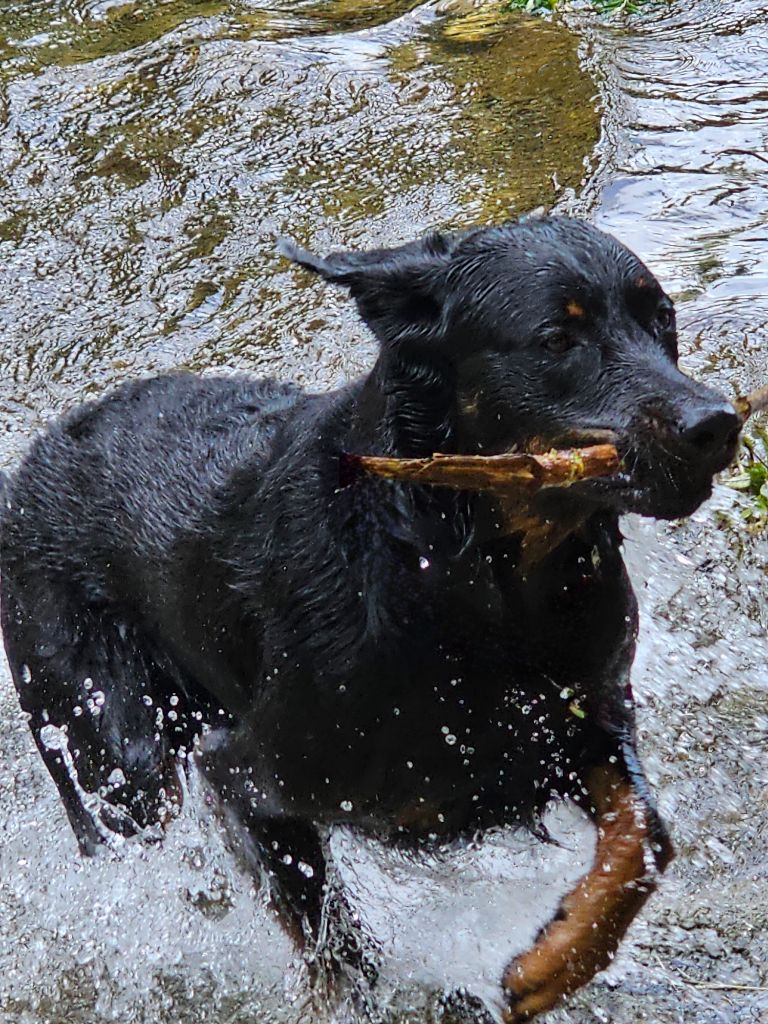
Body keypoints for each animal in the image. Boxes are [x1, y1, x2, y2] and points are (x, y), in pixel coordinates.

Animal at [1, 216, 745, 1015]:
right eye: (555, 339)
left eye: (661, 316)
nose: (716, 423)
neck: (470, 584)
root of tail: (31, 463)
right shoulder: (246, 778)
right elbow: (337, 950)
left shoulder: (583, 719)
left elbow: (646, 836)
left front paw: (551, 963)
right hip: (112, 755)